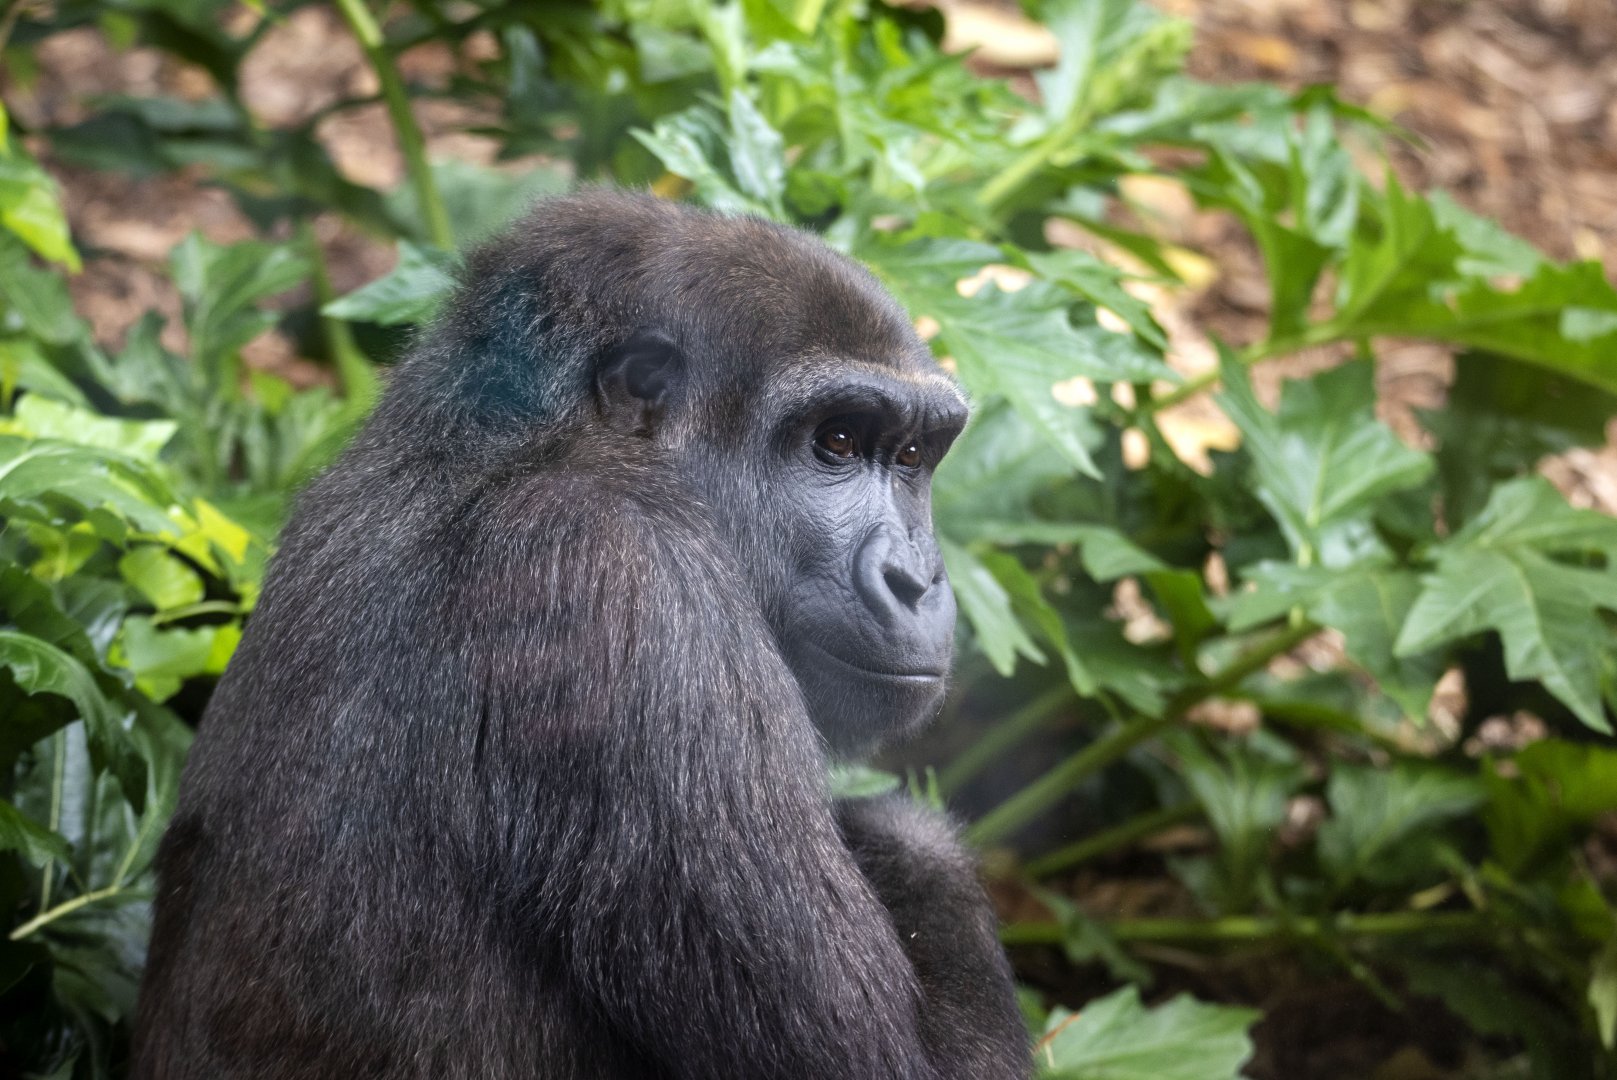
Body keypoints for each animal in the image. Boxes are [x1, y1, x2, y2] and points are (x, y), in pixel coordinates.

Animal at [131, 191, 1031, 1080]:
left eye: (911, 456)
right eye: (836, 441)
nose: (916, 578)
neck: (522, 444)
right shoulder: (630, 580)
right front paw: (909, 845)